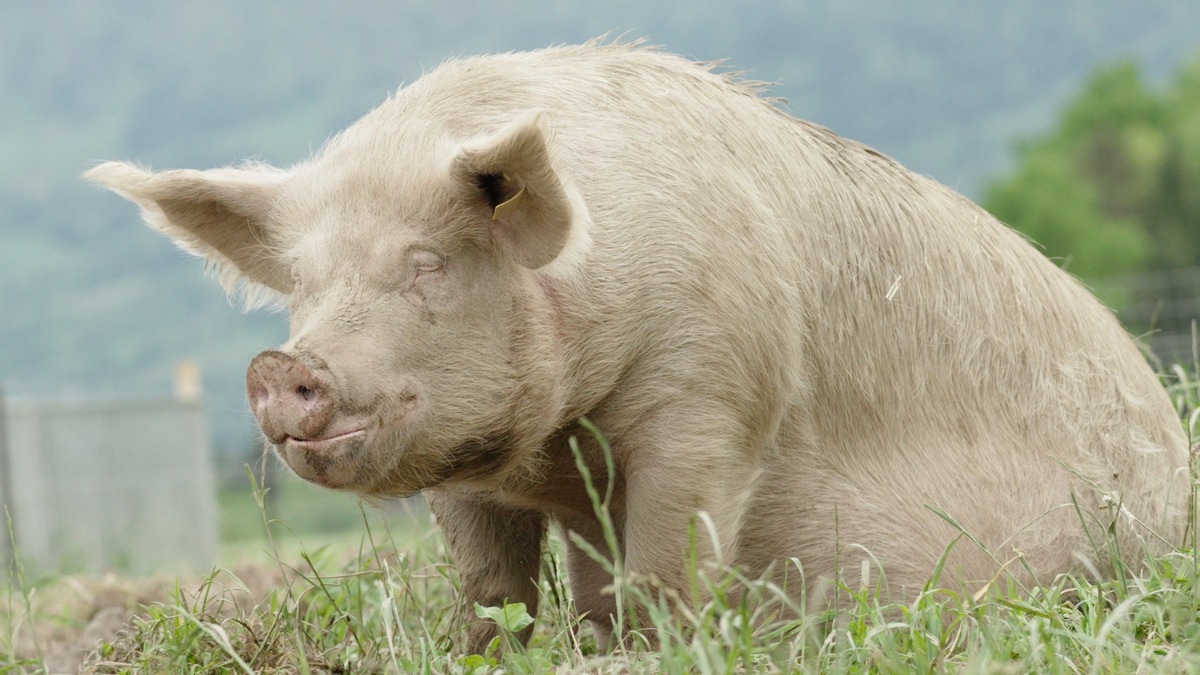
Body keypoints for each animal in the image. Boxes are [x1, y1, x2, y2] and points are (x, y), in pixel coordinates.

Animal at [84, 40, 1190, 648]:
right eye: (303, 288)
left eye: (426, 265)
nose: (284, 367)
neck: (561, 446)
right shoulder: (470, 471)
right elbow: (492, 589)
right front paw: (511, 646)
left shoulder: (718, 394)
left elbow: (667, 563)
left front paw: (648, 648)